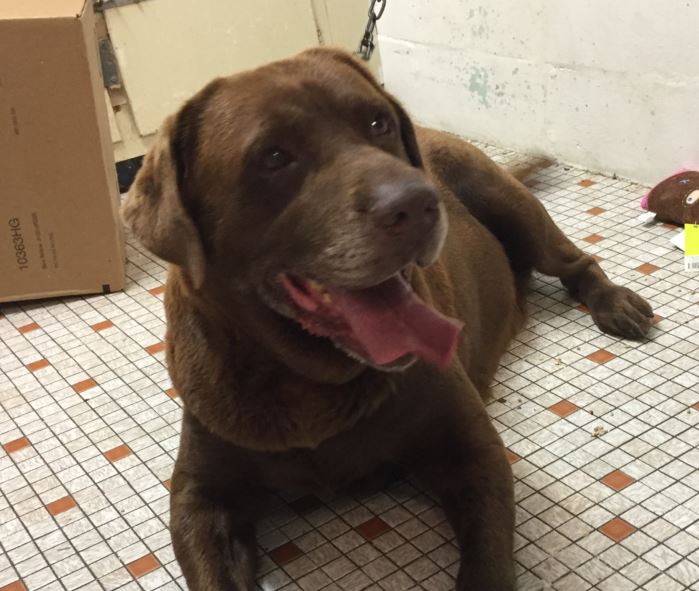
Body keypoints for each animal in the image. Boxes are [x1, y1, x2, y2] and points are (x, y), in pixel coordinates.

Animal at [122, 48, 653, 591]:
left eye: (378, 122)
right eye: (272, 157)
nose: (417, 203)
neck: (308, 383)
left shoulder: (471, 450)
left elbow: (485, 559)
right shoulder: (200, 493)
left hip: (505, 199)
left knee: (575, 261)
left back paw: (616, 304)